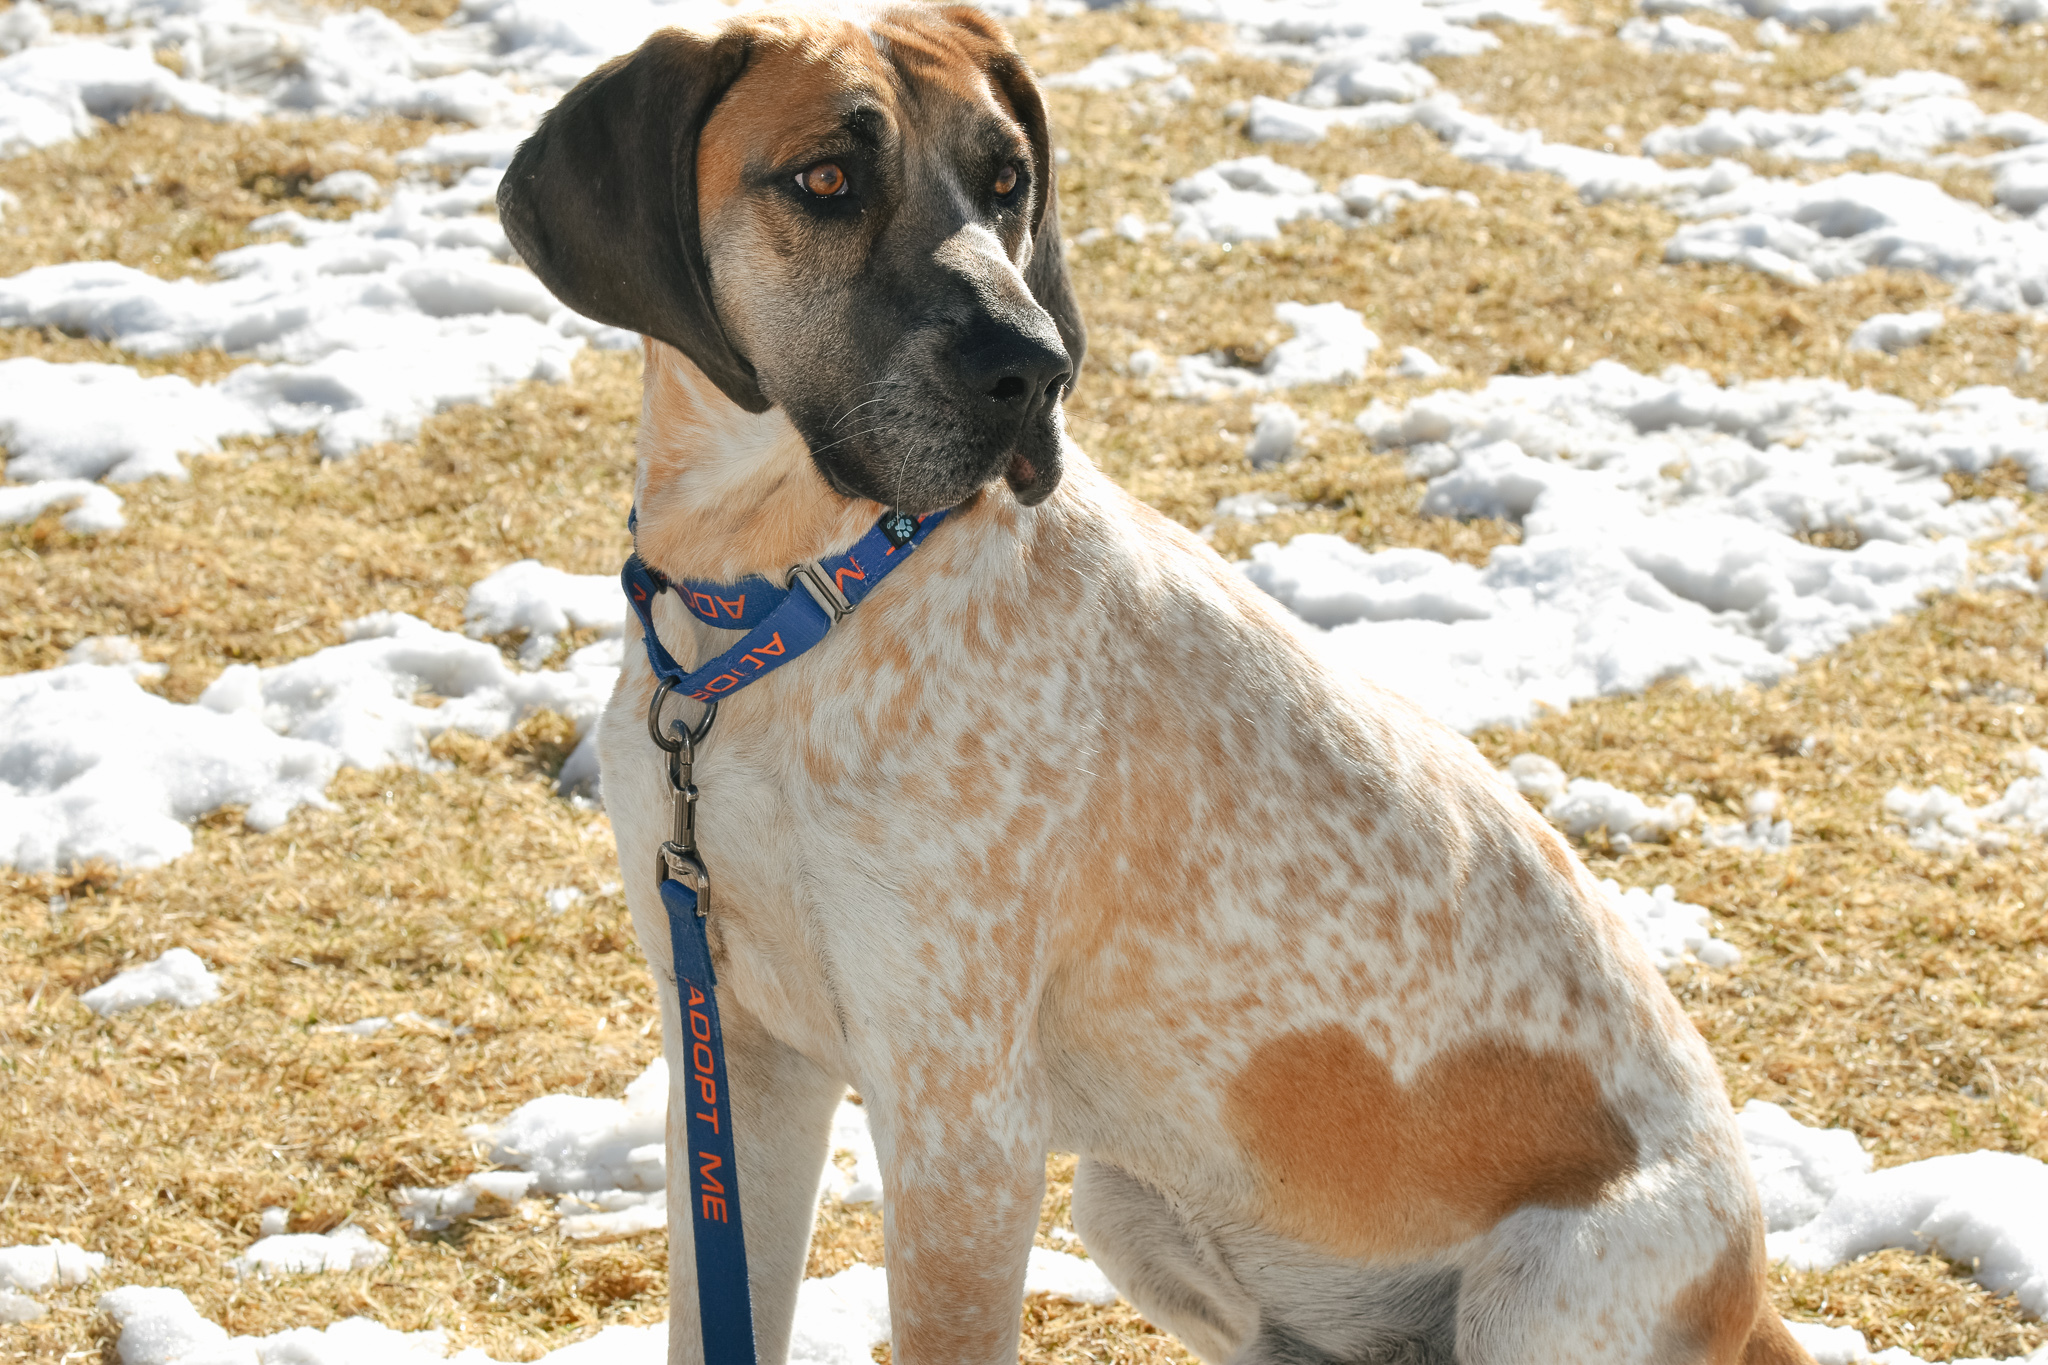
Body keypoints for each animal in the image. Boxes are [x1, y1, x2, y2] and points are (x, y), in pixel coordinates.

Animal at [503, 5, 1818, 1358]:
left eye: (1007, 182)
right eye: (825, 179)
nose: (1035, 370)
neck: (780, 604)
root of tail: (1751, 1299)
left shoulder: (960, 1117)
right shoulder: (736, 1048)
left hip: (1543, 1290)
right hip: (1139, 1211)